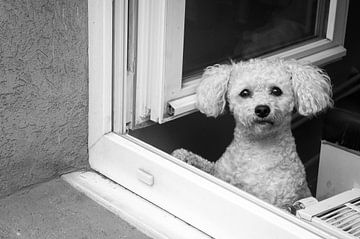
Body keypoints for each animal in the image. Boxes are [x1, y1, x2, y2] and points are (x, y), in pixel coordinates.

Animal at [173, 58, 334, 209]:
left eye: (276, 91)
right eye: (245, 93)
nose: (262, 109)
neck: (258, 149)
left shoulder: (276, 201)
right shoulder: (220, 174)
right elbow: (207, 165)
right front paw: (183, 155)